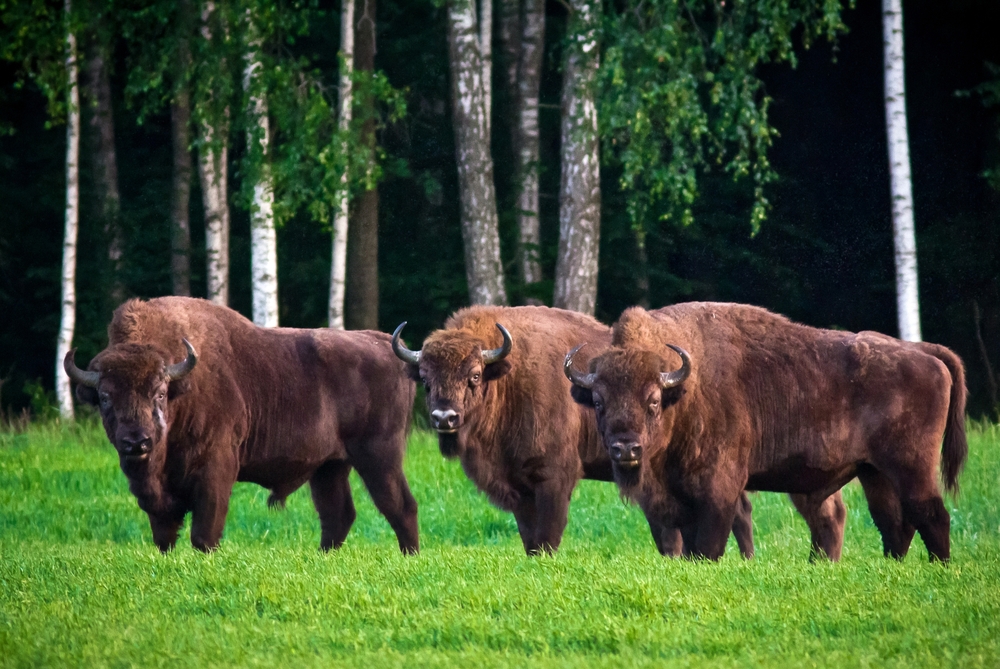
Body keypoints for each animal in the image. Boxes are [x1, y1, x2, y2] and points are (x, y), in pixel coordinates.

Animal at [64, 298, 418, 552]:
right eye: (105, 397)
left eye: (160, 392)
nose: (137, 442)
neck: (184, 387)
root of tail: (386, 344)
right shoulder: (156, 495)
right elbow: (164, 535)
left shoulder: (216, 471)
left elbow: (205, 533)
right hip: (330, 466)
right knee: (337, 514)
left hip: (379, 456)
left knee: (400, 506)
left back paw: (409, 556)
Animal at [394, 306, 840, 556]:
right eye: (426, 379)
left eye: (473, 375)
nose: (444, 418)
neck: (507, 374)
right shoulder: (519, 485)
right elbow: (528, 536)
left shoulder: (554, 477)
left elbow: (548, 534)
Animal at [568, 302, 964, 560]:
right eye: (598, 401)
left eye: (652, 400)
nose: (625, 449)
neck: (684, 391)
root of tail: (925, 353)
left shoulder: (719, 490)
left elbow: (708, 546)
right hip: (874, 473)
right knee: (894, 523)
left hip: (912, 467)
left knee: (932, 515)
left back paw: (939, 567)